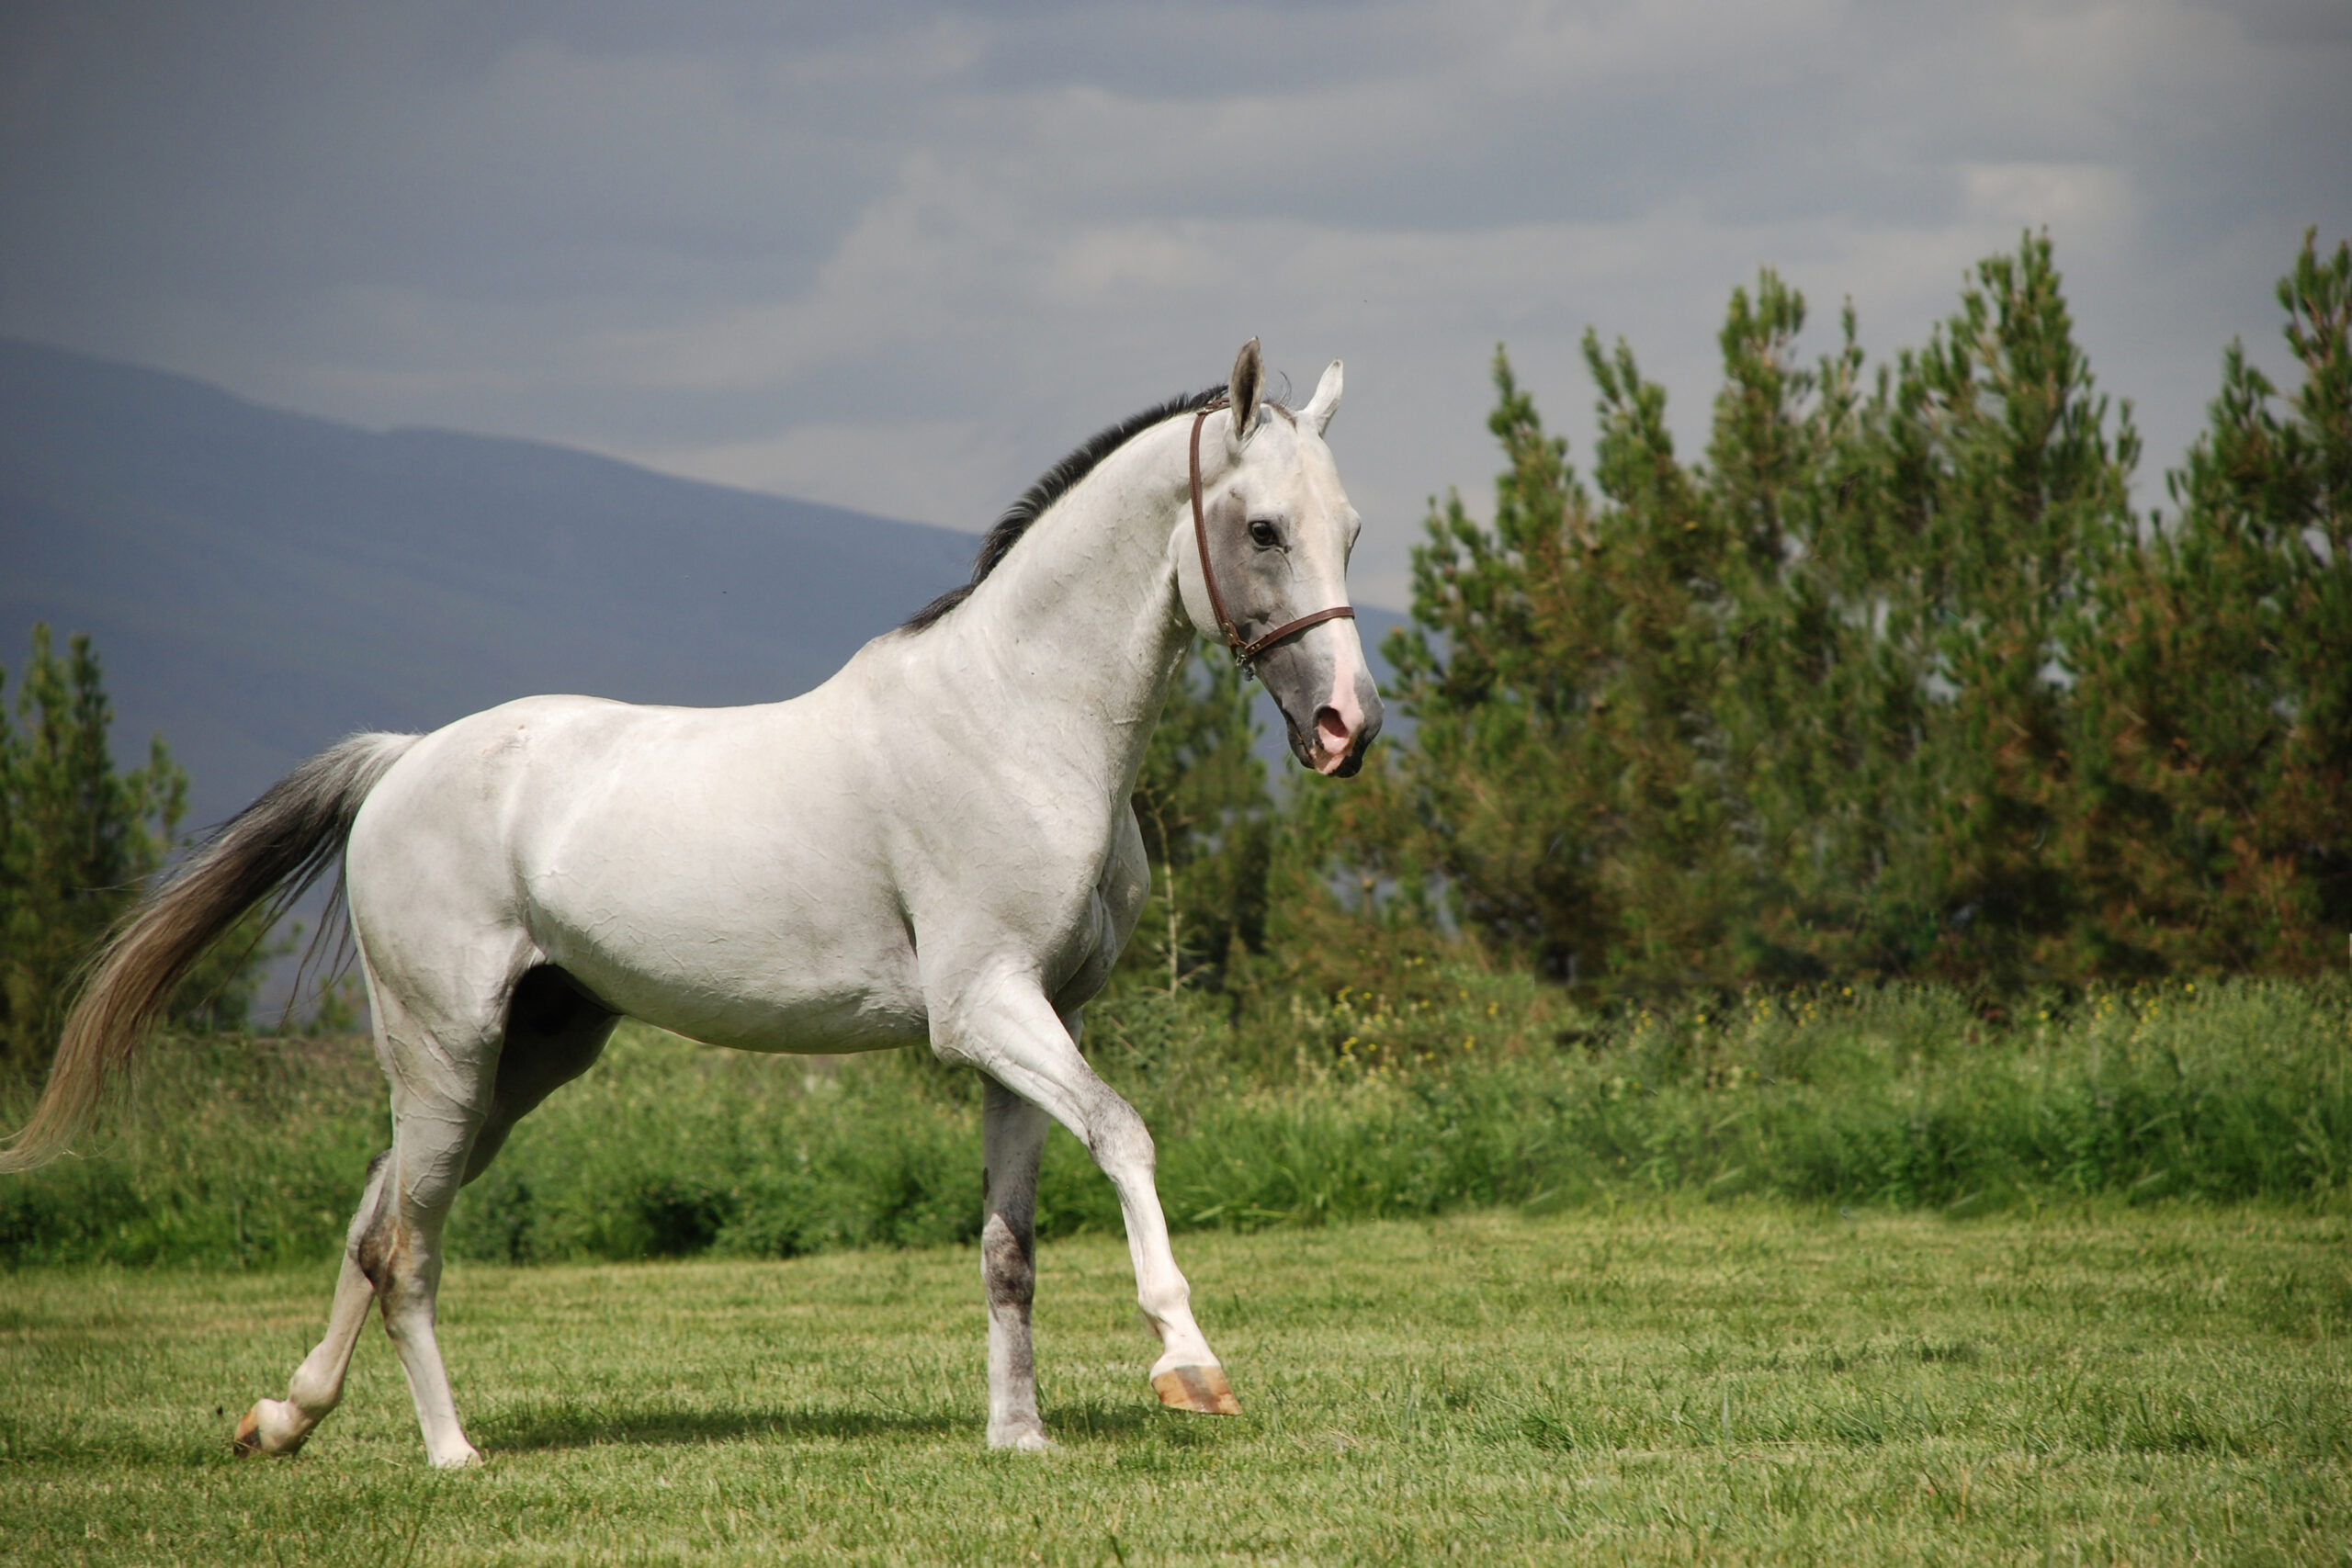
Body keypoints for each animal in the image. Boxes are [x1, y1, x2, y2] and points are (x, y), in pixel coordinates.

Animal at [0, 340, 1382, 1467]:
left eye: (1352, 529)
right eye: (1264, 529)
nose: (1345, 728)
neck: (1014, 720)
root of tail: (399, 763)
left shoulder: (1035, 1025)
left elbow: (1011, 1245)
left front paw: (1019, 1437)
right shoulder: (985, 1010)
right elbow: (1128, 1136)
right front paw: (1188, 1365)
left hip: (521, 1056)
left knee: (368, 1221)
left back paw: (282, 1418)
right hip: (448, 1051)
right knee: (406, 1248)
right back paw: (453, 1454)